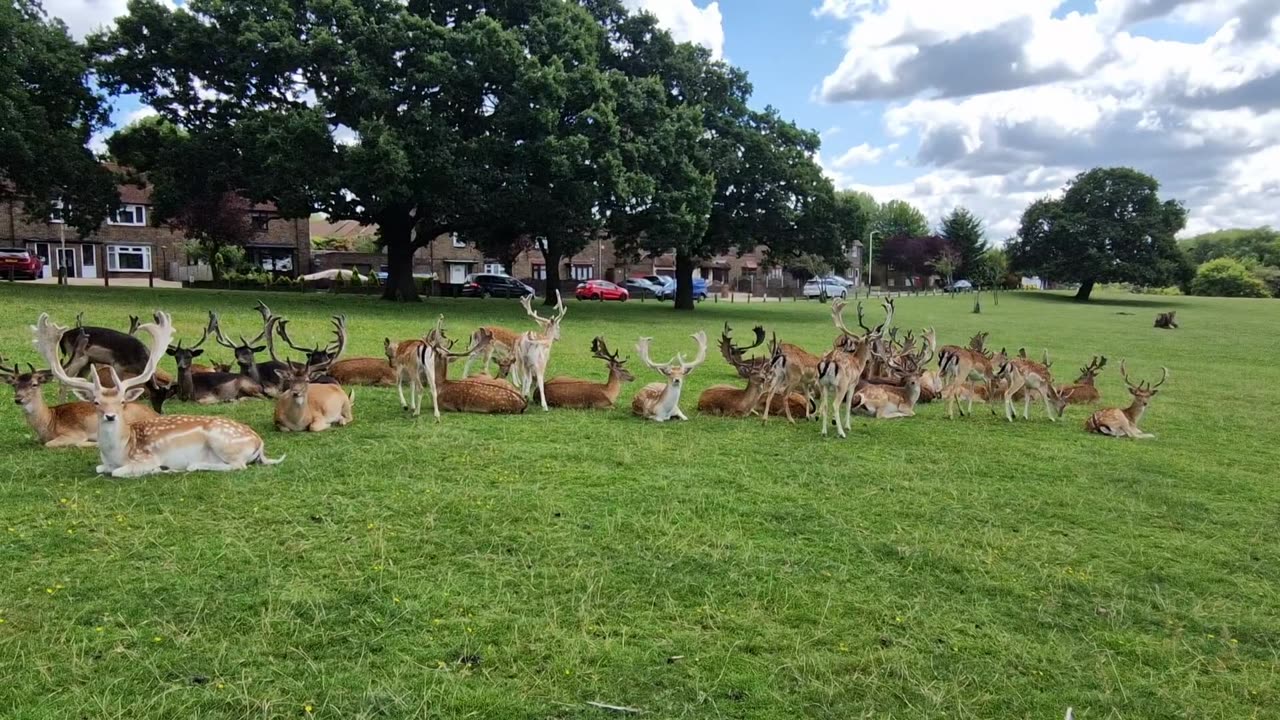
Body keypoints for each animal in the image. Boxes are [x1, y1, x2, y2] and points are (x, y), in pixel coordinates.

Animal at [1, 351, 156, 443]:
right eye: (14, 384)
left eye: (34, 384)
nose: (18, 399)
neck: (47, 424)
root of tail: (154, 413)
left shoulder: (73, 433)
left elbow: (51, 444)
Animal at [29, 310, 285, 474]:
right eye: (96, 403)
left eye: (123, 402)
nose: (110, 416)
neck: (117, 454)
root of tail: (259, 442)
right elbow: (101, 468)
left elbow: (120, 472)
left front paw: (159, 469)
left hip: (223, 442)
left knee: (237, 464)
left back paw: (187, 466)